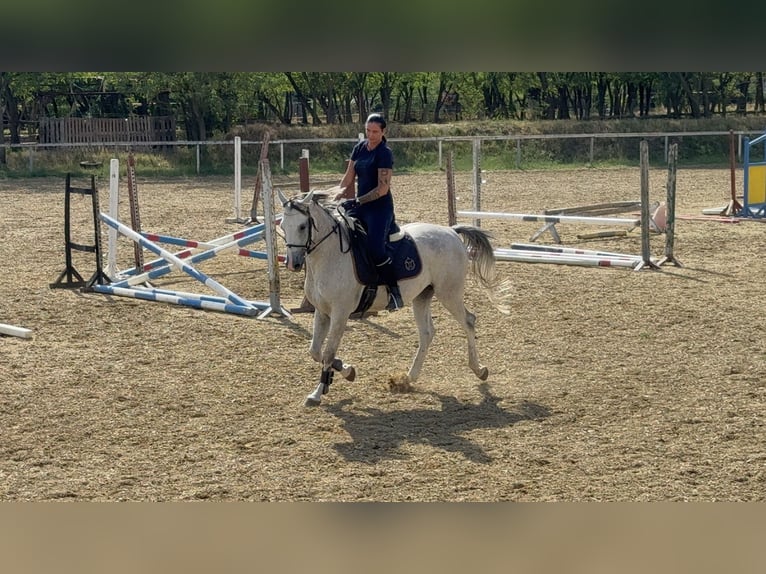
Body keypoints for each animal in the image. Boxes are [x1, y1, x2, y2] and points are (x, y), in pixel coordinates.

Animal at [277, 187, 509, 407]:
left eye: (302, 226)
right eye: (283, 226)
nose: (293, 264)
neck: (328, 256)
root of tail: (451, 231)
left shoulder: (340, 314)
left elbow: (327, 353)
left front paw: (319, 393)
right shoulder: (322, 311)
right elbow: (315, 351)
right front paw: (346, 371)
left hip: (449, 293)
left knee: (468, 321)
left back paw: (479, 370)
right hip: (422, 296)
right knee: (427, 333)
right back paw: (408, 378)